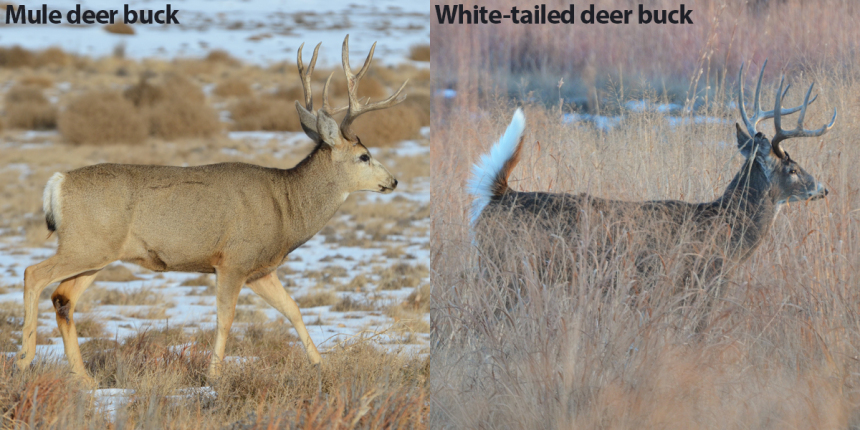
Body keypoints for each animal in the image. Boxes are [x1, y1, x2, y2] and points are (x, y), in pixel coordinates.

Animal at [15, 35, 407, 385]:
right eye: (364, 156)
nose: (393, 181)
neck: (286, 206)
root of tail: (58, 182)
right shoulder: (233, 259)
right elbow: (226, 318)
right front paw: (214, 376)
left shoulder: (260, 269)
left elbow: (293, 309)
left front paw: (322, 367)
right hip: (86, 244)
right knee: (34, 274)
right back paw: (24, 358)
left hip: (98, 253)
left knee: (63, 298)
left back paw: (84, 378)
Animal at [469, 61, 836, 317]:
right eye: (792, 169)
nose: (823, 188)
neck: (729, 230)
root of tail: (500, 196)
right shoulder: (697, 281)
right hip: (506, 270)